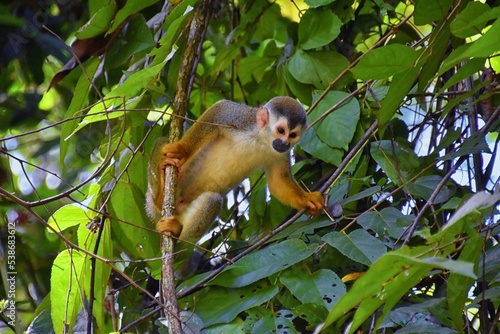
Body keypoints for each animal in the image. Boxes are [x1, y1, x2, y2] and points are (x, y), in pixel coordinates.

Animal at [146, 96, 324, 243]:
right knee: (161, 142)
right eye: (281, 130)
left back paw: (176, 235)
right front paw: (181, 149)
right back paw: (161, 195)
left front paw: (307, 199)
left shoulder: (281, 154)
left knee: (213, 201)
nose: (284, 143)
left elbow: (278, 181)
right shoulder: (243, 119)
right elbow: (220, 109)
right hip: (154, 205)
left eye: (292, 135)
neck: (262, 140)